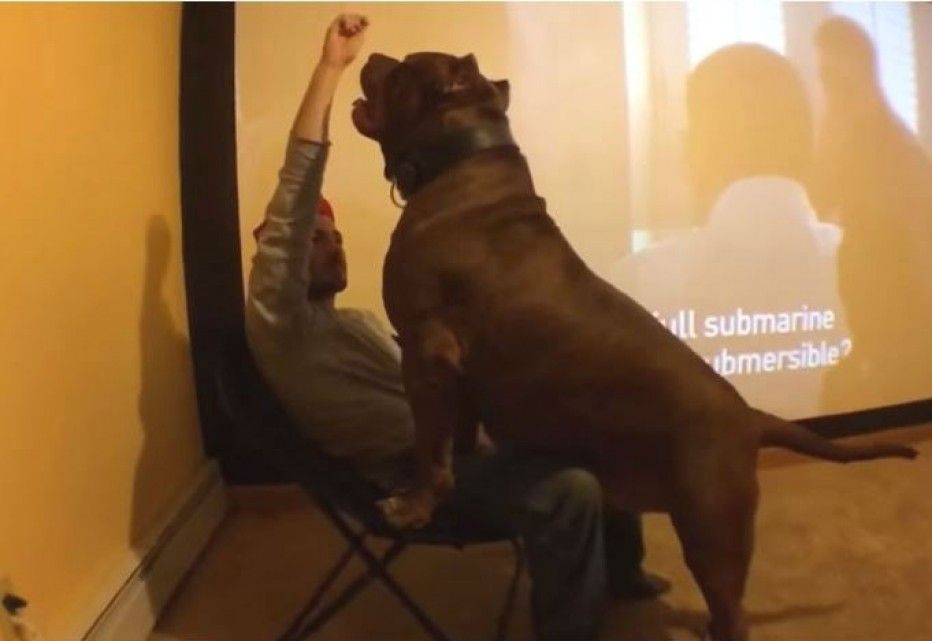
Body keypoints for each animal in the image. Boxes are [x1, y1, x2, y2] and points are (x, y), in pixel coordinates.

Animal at [351, 51, 917, 641]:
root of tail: (749, 418)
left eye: (403, 68)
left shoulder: (426, 353)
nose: (372, 54)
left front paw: (414, 505)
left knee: (731, 612)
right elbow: (453, 438)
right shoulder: (455, 373)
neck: (460, 165)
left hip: (713, 534)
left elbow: (430, 449)